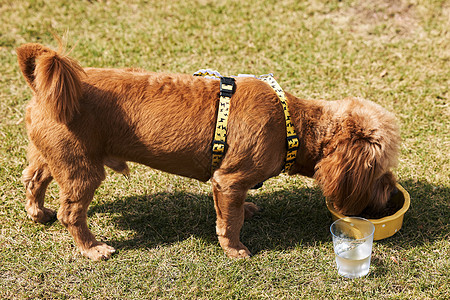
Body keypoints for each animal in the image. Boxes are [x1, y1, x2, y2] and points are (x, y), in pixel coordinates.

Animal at [15, 42, 400, 260]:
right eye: (381, 172)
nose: (394, 195)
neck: (291, 124)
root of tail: (43, 85)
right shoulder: (228, 180)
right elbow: (231, 221)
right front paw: (235, 250)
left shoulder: (232, 184)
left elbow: (238, 209)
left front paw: (248, 207)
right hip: (82, 168)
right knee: (71, 213)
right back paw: (91, 248)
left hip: (56, 154)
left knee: (33, 178)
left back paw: (38, 212)